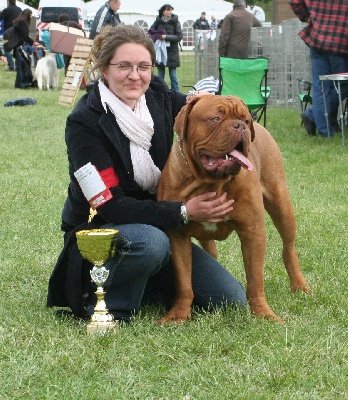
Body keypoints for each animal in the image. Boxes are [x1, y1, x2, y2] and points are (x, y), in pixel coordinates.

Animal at [158, 95, 310, 324]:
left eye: (245, 120)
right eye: (215, 118)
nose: (241, 126)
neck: (210, 183)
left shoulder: (253, 231)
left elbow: (255, 279)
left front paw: (263, 314)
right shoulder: (178, 235)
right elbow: (183, 281)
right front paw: (178, 315)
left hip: (281, 204)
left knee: (289, 247)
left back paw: (300, 286)